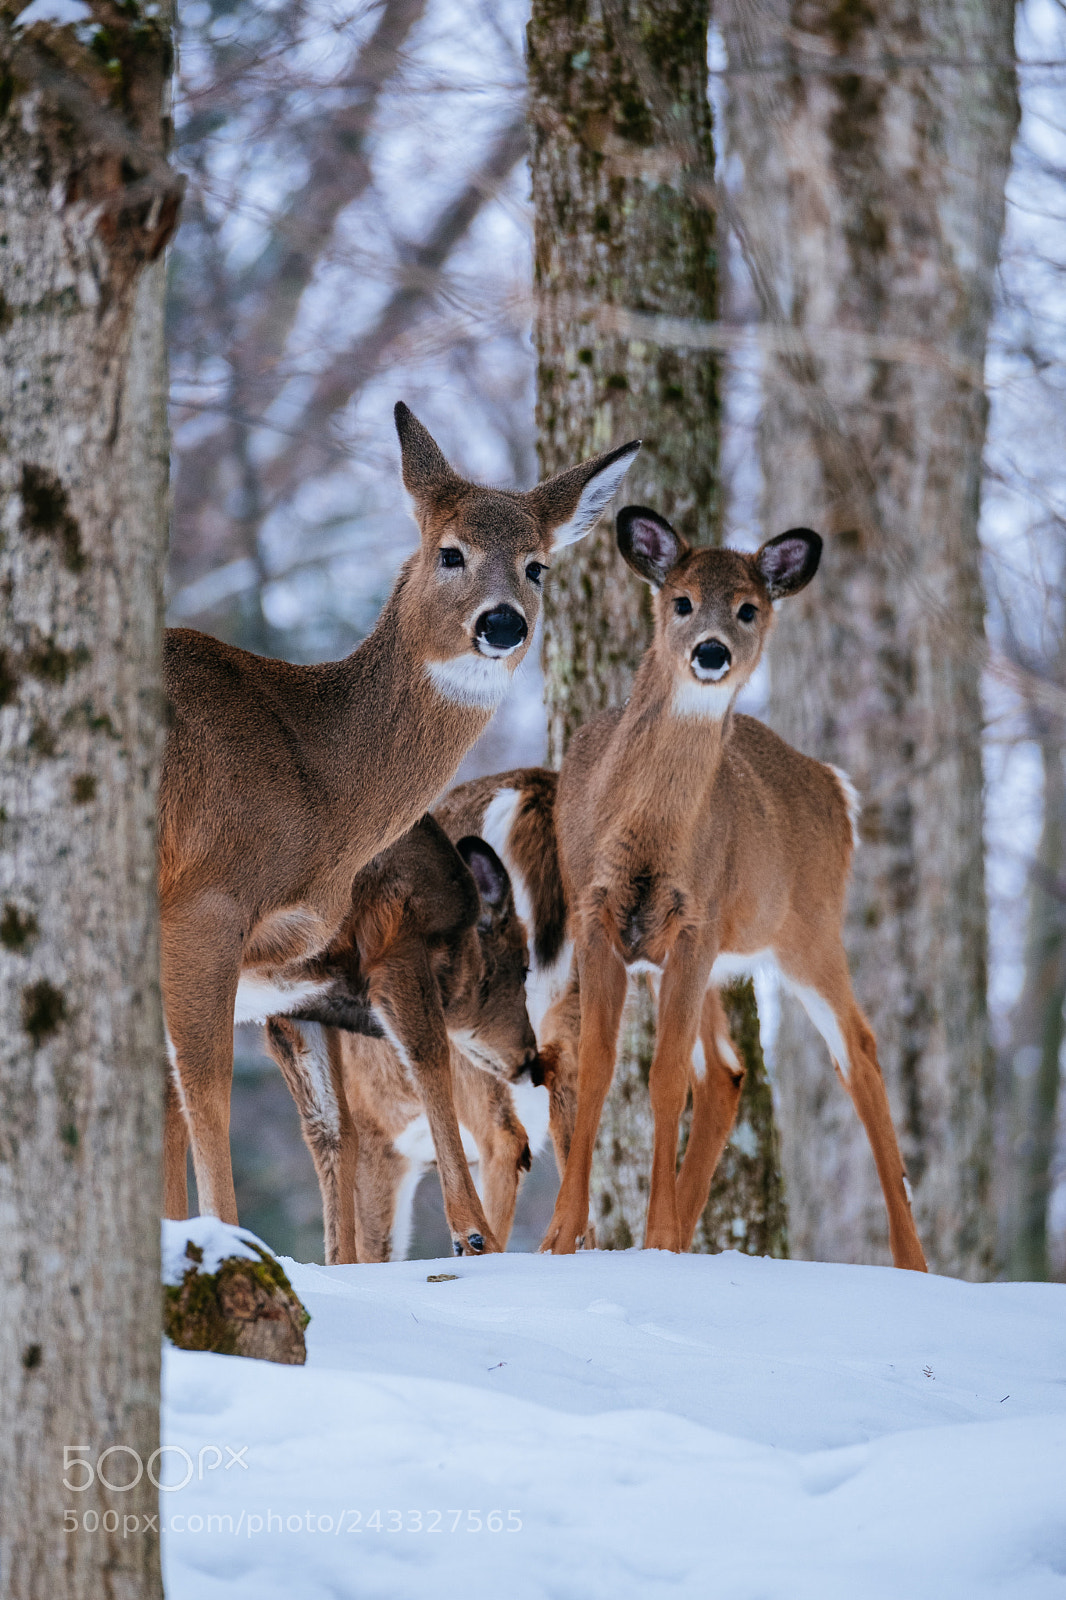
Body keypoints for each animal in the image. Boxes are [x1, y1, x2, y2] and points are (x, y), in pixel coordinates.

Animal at [257, 817, 536, 1260]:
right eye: (524, 965)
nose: (530, 1057)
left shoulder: (288, 1009)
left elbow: (328, 1128)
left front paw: (340, 1264)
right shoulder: (395, 941)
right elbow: (427, 1058)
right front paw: (473, 1238)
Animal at [538, 505, 928, 1271]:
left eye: (748, 609)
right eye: (682, 601)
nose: (712, 652)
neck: (641, 834)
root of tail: (836, 789)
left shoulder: (693, 923)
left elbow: (661, 1079)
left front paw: (653, 1237)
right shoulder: (598, 918)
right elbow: (598, 1068)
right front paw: (563, 1238)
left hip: (805, 931)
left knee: (858, 1052)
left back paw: (913, 1264)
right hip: (722, 959)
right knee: (726, 1073)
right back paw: (685, 1235)